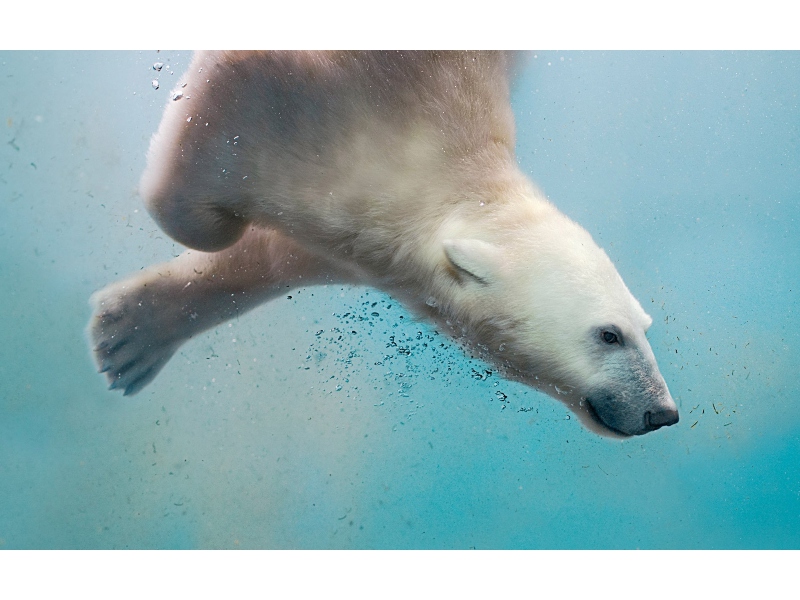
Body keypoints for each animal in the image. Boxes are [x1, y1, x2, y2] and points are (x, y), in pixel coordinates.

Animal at [87, 50, 676, 436]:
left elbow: (284, 251)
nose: (663, 413)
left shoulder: (362, 230)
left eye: (643, 326)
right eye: (608, 335)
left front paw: (128, 336)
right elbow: (209, 202)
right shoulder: (313, 99)